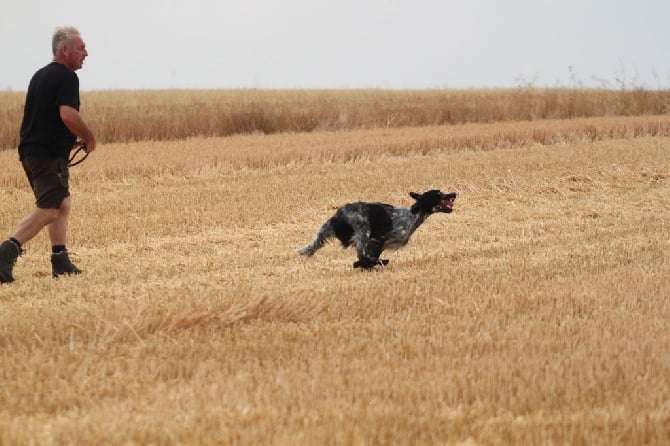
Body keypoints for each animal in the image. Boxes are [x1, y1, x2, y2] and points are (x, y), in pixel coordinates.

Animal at [298, 189, 456, 268]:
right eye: (439, 193)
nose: (454, 193)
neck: (412, 215)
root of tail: (337, 217)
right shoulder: (378, 239)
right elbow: (366, 256)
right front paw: (369, 264)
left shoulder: (379, 243)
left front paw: (363, 265)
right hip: (363, 230)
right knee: (362, 253)